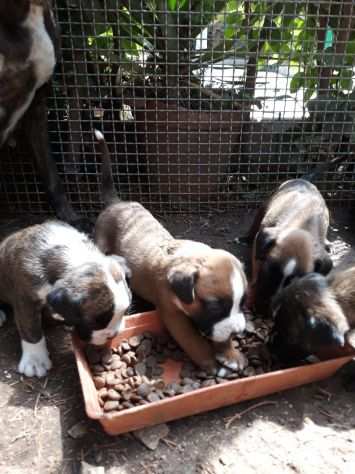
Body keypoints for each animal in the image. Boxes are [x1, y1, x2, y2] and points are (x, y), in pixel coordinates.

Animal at [0, 219, 132, 378]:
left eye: (126, 312)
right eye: (95, 322)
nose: (113, 335)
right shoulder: (26, 300)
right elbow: (31, 330)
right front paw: (35, 360)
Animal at [94, 131, 249, 374]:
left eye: (242, 303)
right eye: (215, 306)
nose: (237, 332)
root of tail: (116, 203)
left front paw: (229, 352)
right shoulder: (173, 314)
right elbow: (192, 339)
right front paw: (209, 361)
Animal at [246, 181, 332, 318]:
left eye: (294, 282)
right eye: (269, 270)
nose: (265, 310)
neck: (304, 227)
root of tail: (303, 180)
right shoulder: (259, 243)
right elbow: (257, 265)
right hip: (266, 204)